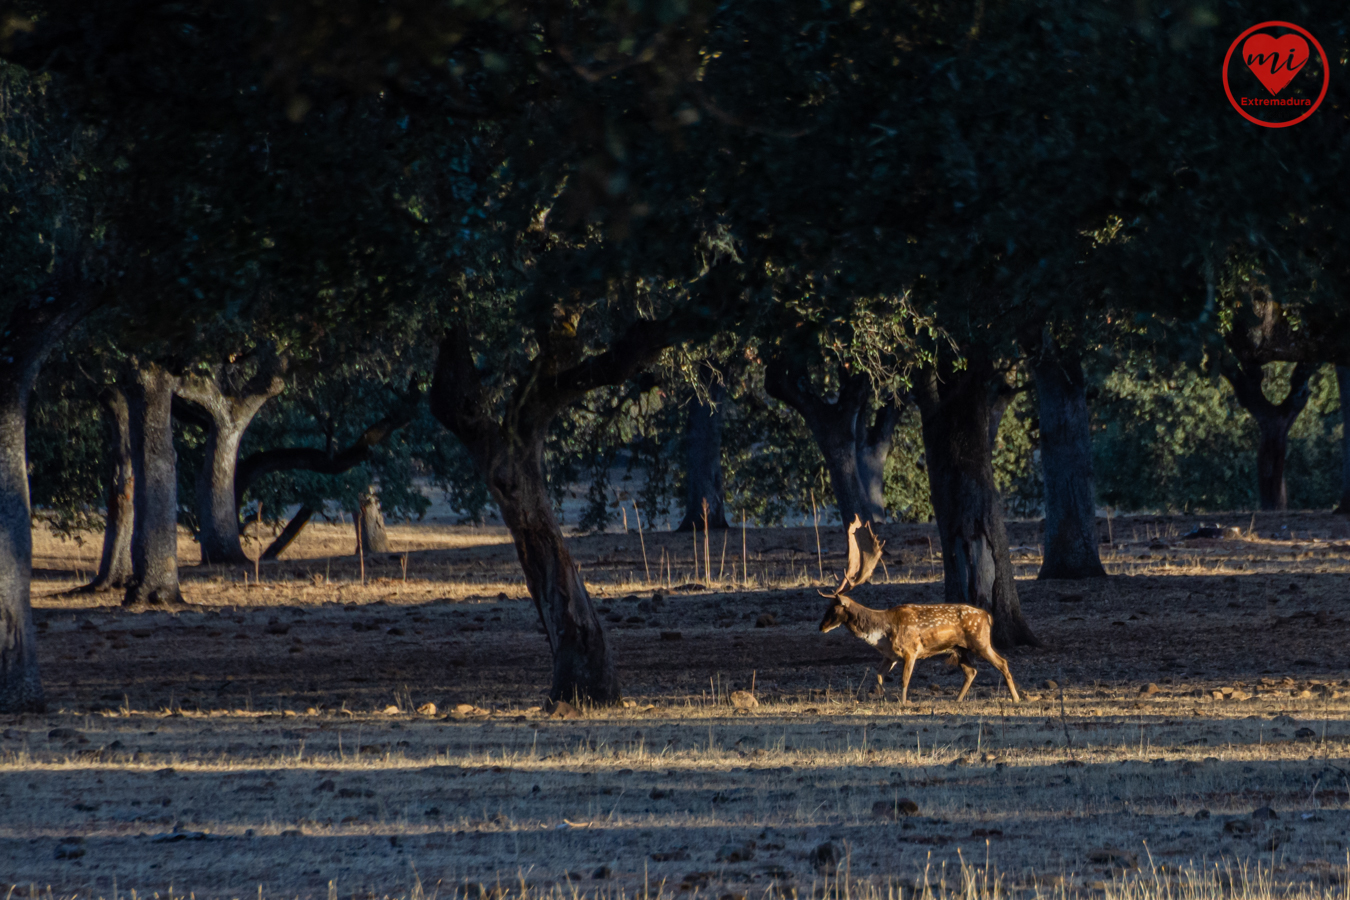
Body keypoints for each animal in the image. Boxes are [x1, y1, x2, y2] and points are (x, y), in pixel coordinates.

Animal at [815, 520, 1015, 701]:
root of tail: (987, 616)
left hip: (980, 641)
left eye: (834, 609)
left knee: (1003, 663)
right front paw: (884, 697)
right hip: (960, 648)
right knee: (971, 671)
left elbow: (904, 681)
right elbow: (879, 676)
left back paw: (1016, 698)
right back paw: (957, 700)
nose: (821, 627)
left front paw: (903, 703)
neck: (881, 633)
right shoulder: (891, 656)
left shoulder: (910, 650)